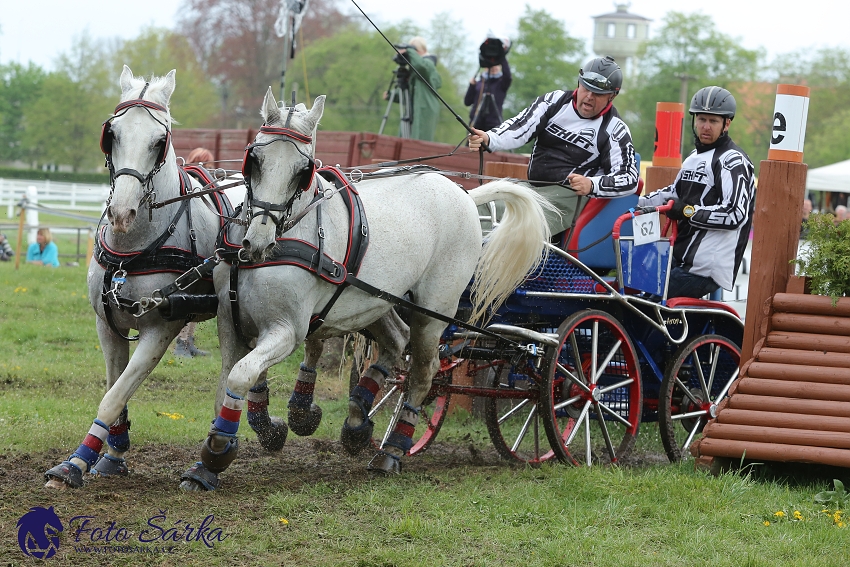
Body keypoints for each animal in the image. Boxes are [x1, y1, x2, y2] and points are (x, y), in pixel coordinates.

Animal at [44, 66, 248, 490]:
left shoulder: (162, 328)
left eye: (159, 141)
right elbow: (114, 388)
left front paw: (76, 463)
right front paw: (113, 452)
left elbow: (114, 395)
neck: (133, 247)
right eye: (113, 134)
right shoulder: (107, 324)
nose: (122, 213)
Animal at [176, 91, 552, 490]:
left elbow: (241, 375)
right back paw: (358, 421)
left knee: (423, 370)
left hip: (433, 311)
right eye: (254, 159)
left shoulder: (287, 331)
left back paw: (392, 449)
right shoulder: (230, 320)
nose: (258, 241)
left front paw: (218, 450)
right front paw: (211, 460)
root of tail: (465, 194)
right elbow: (227, 382)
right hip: (376, 301)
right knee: (396, 341)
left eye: (303, 170)